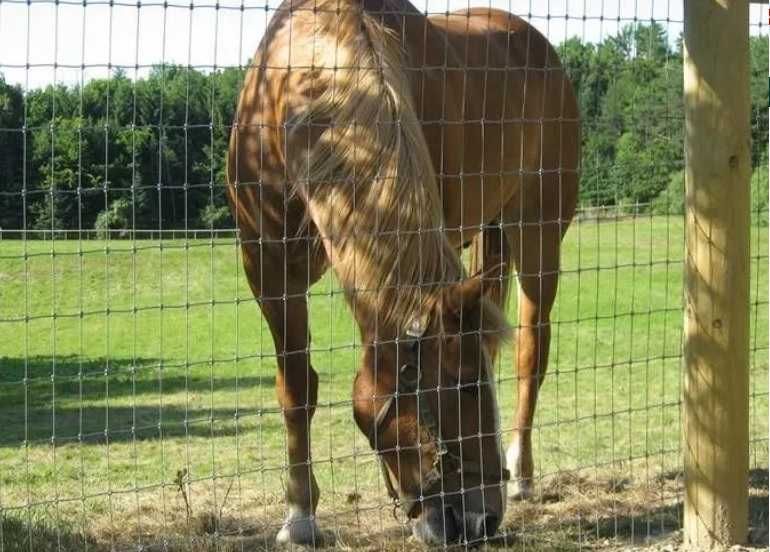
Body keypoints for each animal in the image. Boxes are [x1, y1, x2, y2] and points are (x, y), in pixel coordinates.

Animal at [225, 0, 572, 544]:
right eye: (464, 387)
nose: (482, 521)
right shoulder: (269, 270)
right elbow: (296, 388)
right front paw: (300, 516)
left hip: (538, 233)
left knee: (531, 352)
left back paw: (524, 475)